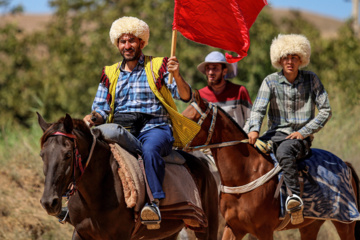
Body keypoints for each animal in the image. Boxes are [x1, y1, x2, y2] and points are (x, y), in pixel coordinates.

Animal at [181, 90, 360, 240]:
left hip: (345, 223)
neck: (245, 173)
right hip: (310, 225)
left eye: (189, 119)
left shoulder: (264, 230)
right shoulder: (233, 227)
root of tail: (345, 164)